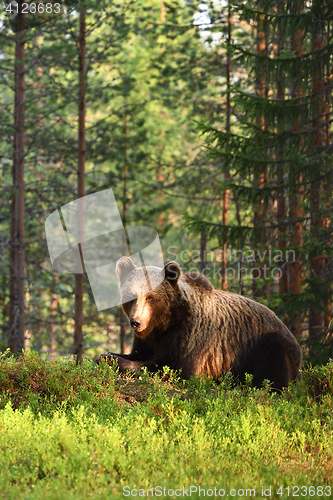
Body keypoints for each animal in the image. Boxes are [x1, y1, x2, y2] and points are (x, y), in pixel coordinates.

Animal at [97, 258, 302, 390]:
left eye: (150, 297)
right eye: (132, 296)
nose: (136, 322)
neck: (164, 323)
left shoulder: (190, 335)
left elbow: (175, 368)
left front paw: (116, 361)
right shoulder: (147, 339)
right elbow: (138, 354)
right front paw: (107, 355)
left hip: (267, 344)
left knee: (272, 367)